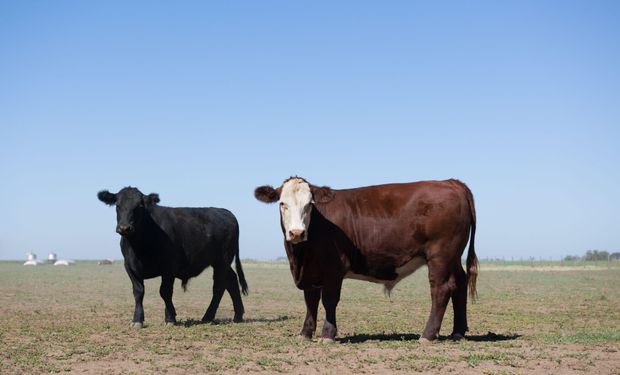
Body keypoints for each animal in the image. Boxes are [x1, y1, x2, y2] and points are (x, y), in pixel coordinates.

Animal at [97, 187, 247, 328]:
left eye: (139, 206)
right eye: (117, 205)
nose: (124, 228)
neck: (139, 247)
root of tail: (225, 211)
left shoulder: (169, 267)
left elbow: (165, 292)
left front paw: (170, 318)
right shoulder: (129, 266)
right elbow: (138, 292)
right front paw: (137, 320)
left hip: (223, 259)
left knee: (219, 287)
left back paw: (207, 317)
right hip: (220, 262)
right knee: (231, 280)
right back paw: (238, 315)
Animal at [254, 178, 478, 342]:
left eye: (309, 204)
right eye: (282, 204)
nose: (297, 233)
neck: (301, 256)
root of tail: (450, 182)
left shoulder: (334, 269)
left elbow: (329, 301)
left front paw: (328, 335)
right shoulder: (310, 271)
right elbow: (311, 301)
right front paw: (305, 333)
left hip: (440, 255)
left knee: (441, 289)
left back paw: (428, 335)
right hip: (453, 256)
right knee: (459, 283)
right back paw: (457, 332)